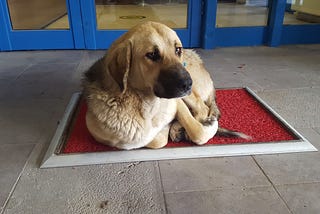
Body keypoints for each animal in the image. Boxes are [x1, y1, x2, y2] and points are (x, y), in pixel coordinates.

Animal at [83, 21, 248, 149]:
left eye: (178, 49)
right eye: (152, 54)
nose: (188, 84)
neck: (147, 104)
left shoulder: (178, 102)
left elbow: (199, 133)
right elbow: (155, 140)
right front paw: (168, 128)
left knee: (203, 108)